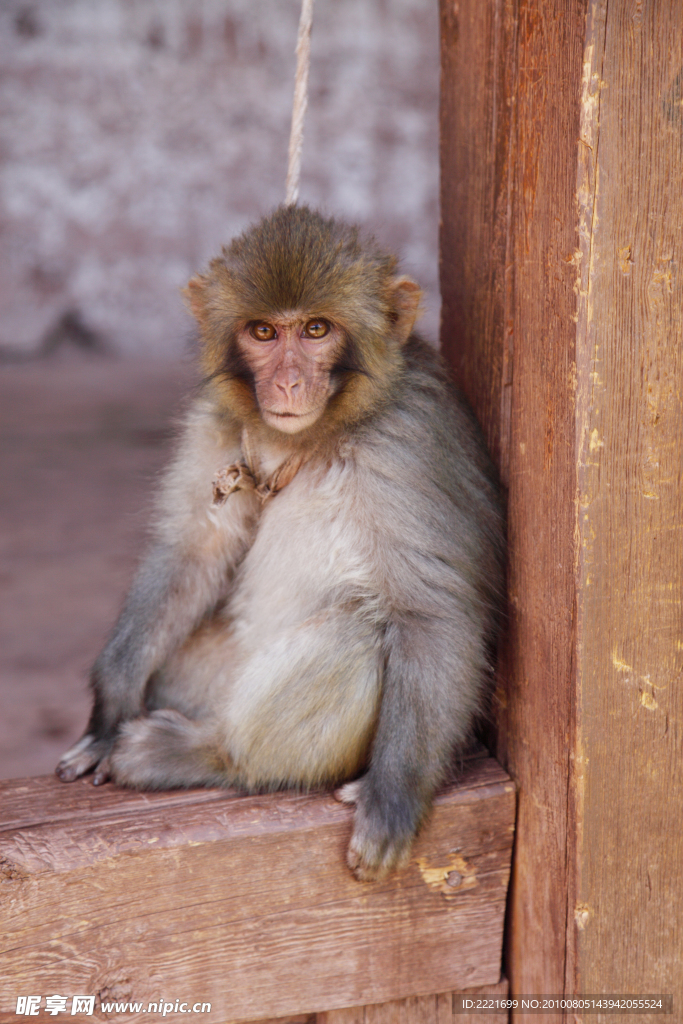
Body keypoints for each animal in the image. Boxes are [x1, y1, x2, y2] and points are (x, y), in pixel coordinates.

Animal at [56, 207, 505, 880]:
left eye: (316, 329)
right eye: (264, 332)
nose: (290, 382)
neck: (311, 435)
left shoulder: (405, 444)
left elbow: (430, 611)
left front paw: (393, 798)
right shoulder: (217, 419)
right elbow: (193, 548)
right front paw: (109, 709)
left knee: (359, 626)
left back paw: (210, 756)